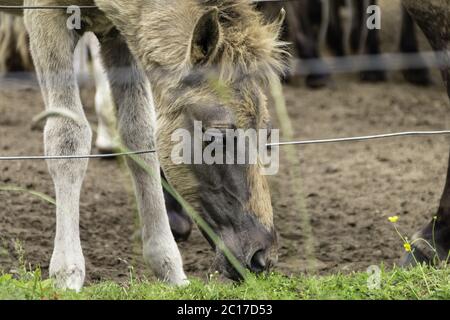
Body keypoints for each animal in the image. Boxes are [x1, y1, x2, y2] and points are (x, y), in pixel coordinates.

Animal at [0, 0, 284, 292]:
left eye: (267, 134)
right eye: (217, 135)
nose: (262, 256)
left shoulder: (120, 34)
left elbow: (140, 134)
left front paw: (170, 269)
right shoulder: (44, 15)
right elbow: (68, 136)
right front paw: (67, 272)